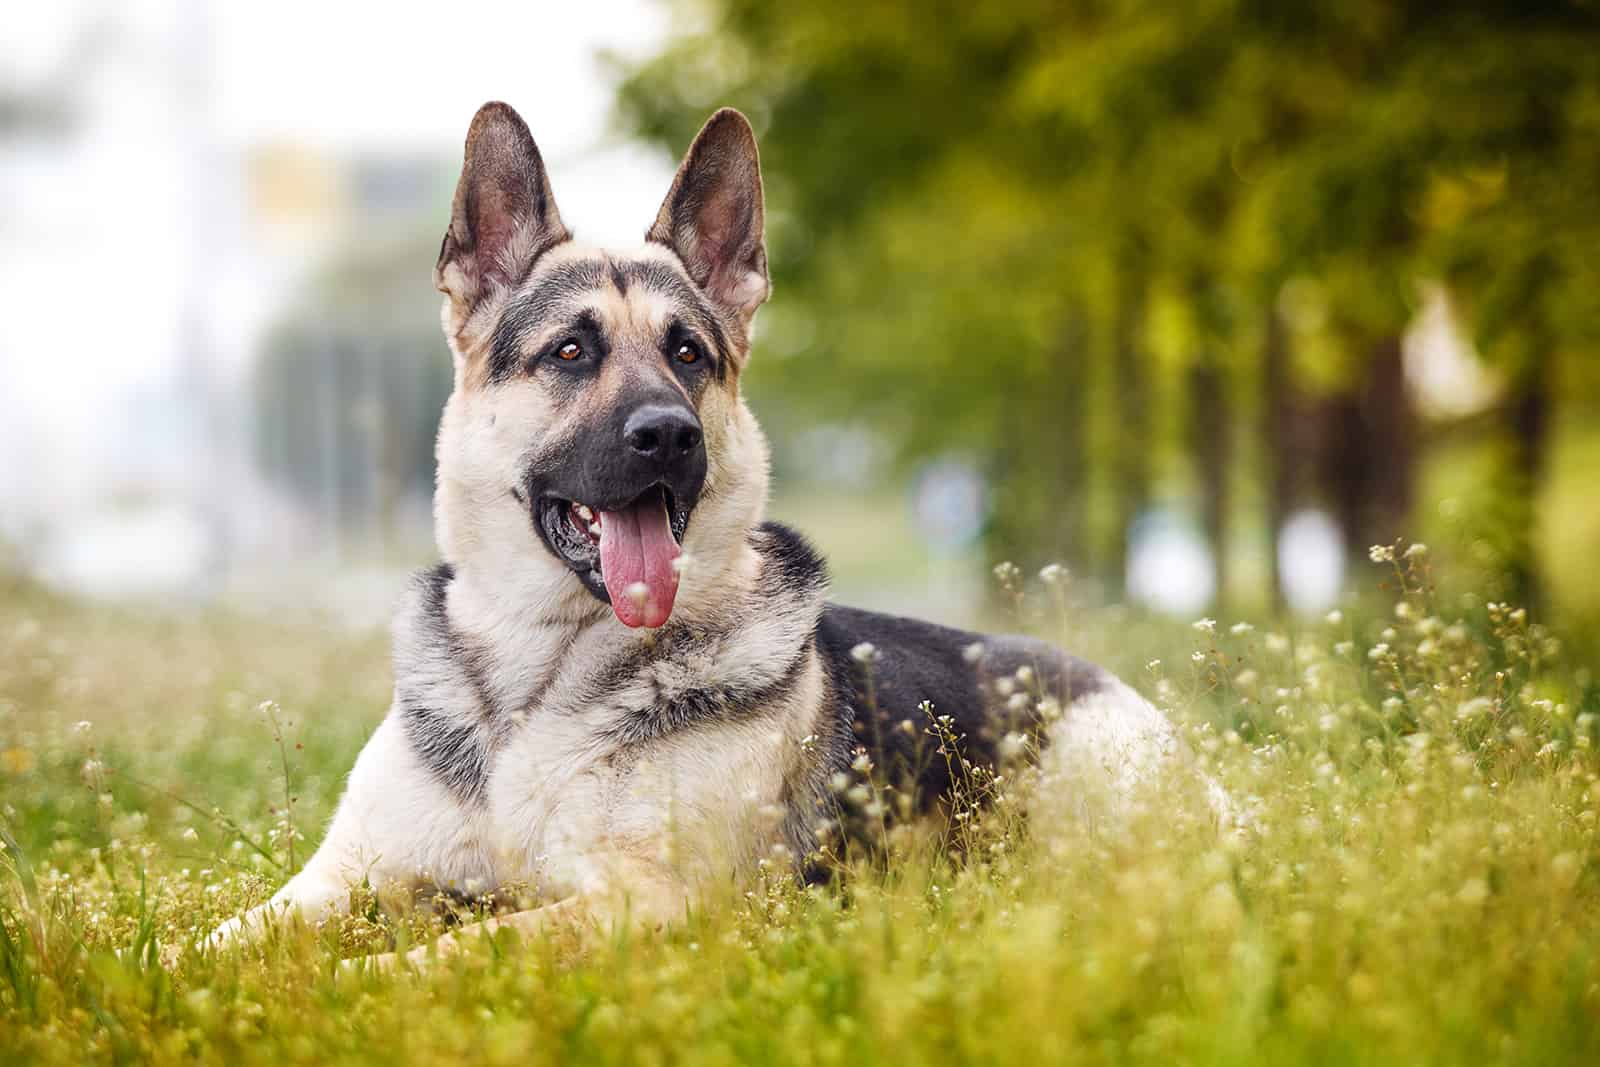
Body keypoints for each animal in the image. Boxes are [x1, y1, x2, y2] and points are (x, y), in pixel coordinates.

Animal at [209, 103, 1222, 966]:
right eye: (571, 351)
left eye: (688, 353)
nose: (668, 435)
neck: (537, 680)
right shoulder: (337, 881)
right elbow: (226, 938)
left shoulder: (639, 902)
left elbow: (444, 950)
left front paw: (351, 982)